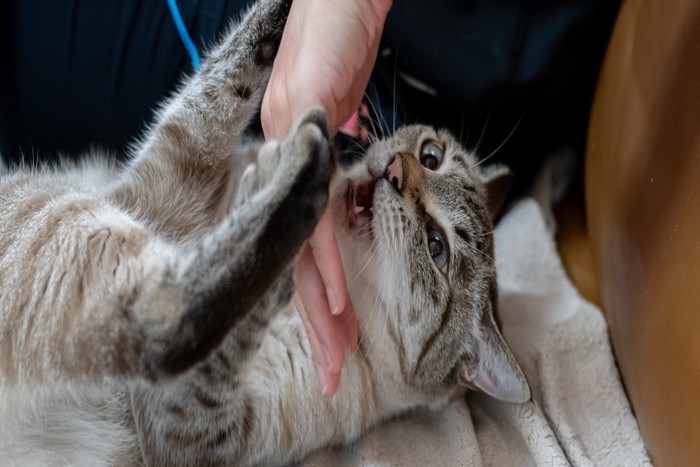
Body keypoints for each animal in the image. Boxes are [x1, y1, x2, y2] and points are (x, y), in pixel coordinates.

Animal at [0, 0, 528, 466]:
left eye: (437, 248)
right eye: (431, 156)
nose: (396, 170)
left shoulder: (195, 435)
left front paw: (283, 187)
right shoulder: (157, 189)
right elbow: (217, 92)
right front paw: (286, 19)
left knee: (168, 320)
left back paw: (301, 171)